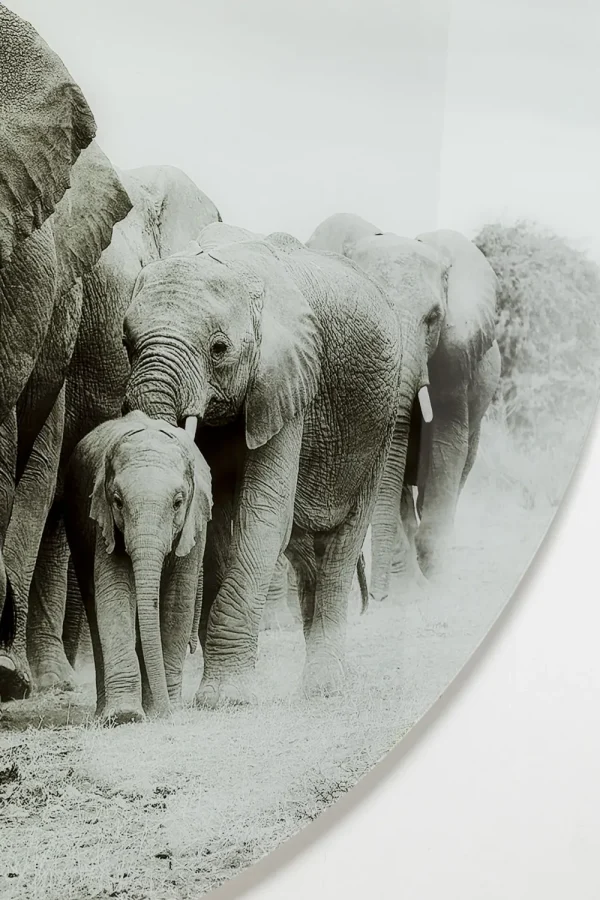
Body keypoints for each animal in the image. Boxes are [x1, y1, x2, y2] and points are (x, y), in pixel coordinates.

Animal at [64, 412, 212, 724]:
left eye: (178, 502)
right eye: (118, 502)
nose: (169, 714)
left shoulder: (195, 527)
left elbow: (177, 601)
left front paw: (163, 709)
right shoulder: (104, 522)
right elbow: (115, 593)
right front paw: (125, 716)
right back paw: (105, 712)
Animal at [122, 223, 406, 704]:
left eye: (219, 349)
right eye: (127, 343)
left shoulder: (290, 383)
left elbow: (263, 514)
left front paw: (224, 699)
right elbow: (222, 520)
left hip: (379, 425)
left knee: (339, 548)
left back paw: (324, 687)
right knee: (305, 550)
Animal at [306, 214, 501, 598]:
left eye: (433, 318)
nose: (374, 597)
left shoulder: (454, 356)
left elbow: (446, 444)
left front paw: (434, 581)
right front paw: (405, 591)